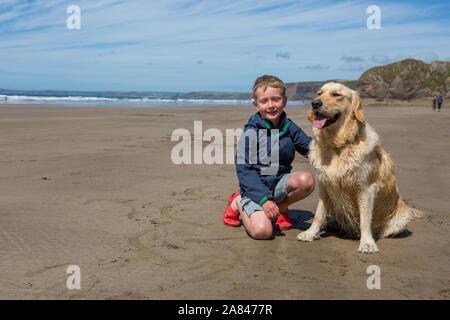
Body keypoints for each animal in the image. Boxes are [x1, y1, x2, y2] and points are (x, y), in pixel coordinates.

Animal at [298, 84, 420, 254]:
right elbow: (318, 215)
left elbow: (365, 219)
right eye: (319, 93)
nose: (315, 103)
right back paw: (332, 224)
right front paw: (310, 233)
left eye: (336, 94)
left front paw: (367, 243)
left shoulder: (365, 188)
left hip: (403, 217)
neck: (338, 146)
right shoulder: (324, 185)